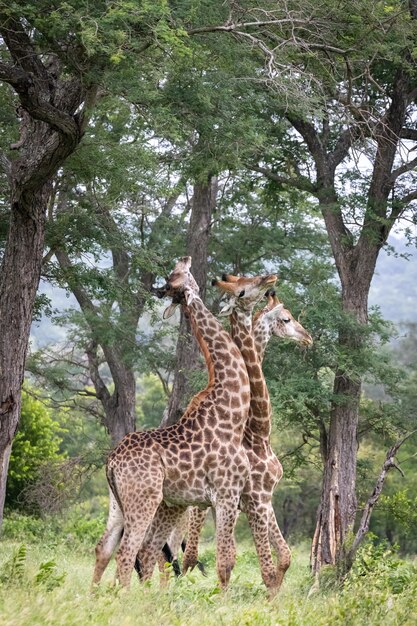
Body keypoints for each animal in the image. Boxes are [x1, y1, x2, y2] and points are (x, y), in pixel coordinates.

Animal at [92, 256, 274, 588]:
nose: (270, 281)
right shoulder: (226, 493)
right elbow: (225, 560)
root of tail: (111, 461)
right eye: (176, 276)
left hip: (119, 503)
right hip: (145, 499)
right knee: (130, 553)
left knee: (107, 549)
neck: (230, 412)